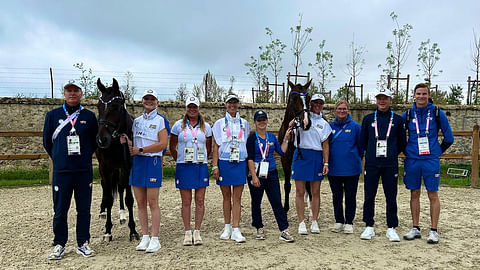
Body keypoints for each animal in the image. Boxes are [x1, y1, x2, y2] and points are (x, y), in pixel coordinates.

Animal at [94, 78, 138, 243]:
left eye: (115, 106)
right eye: (98, 106)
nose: (102, 139)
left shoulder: (128, 167)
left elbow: (129, 198)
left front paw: (133, 230)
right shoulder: (105, 168)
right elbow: (108, 198)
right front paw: (107, 231)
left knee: (120, 187)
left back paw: (122, 214)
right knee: (106, 187)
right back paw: (103, 212)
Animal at [278, 79, 312, 214]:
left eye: (309, 98)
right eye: (294, 98)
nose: (306, 122)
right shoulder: (285, 161)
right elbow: (287, 186)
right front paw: (285, 208)